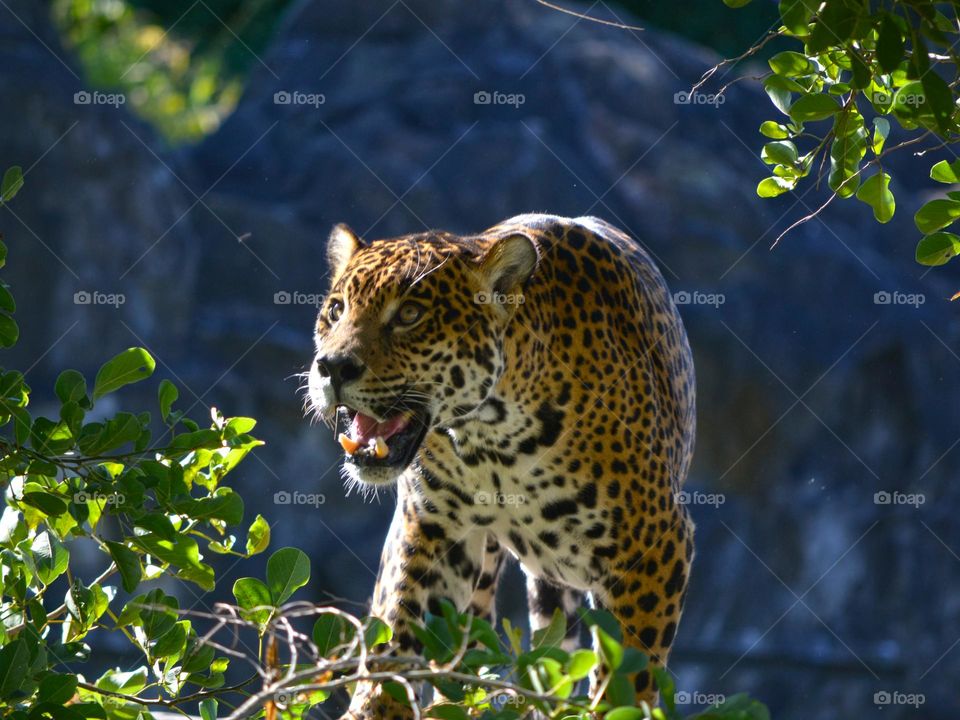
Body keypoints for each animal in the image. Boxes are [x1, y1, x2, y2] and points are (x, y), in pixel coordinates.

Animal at [306, 213, 696, 718]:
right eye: (336, 309)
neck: (492, 439)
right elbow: (397, 630)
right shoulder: (429, 526)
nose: (331, 367)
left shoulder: (654, 546)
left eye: (410, 315)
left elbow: (629, 675)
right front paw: (375, 705)